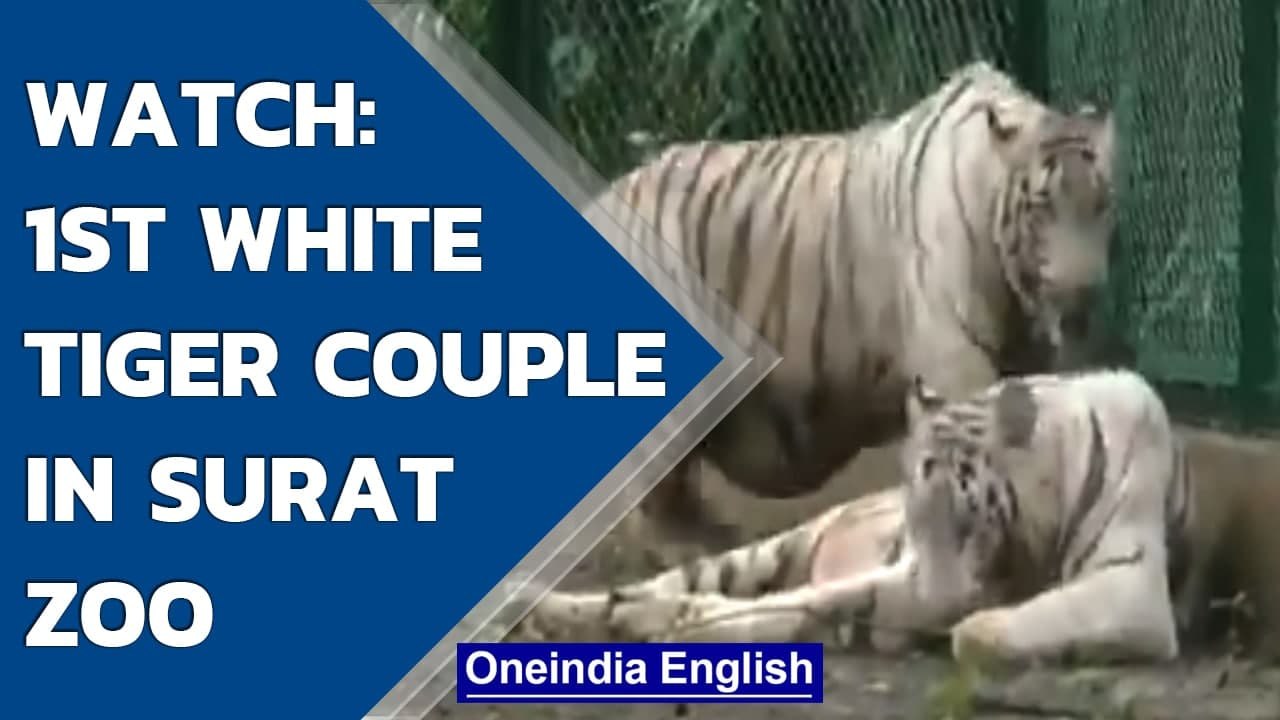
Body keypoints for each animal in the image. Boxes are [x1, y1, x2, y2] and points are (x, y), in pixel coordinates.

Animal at [512, 368, 1203, 667]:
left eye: (971, 521)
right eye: (916, 520)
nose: (934, 596)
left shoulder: (1133, 586)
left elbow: (984, 628)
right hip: (769, 549)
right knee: (679, 585)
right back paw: (556, 605)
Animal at [578, 60, 1118, 561]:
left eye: (1100, 206)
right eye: (1041, 209)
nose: (1083, 295)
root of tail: (602, 200)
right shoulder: (957, 362)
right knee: (651, 502)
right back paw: (709, 547)